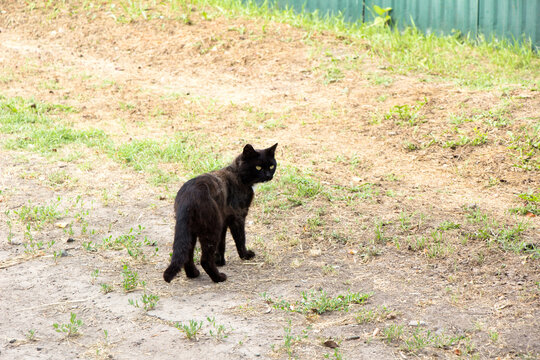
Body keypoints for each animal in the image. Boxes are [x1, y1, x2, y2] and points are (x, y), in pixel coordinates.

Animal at [162, 143, 276, 284]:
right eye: (258, 167)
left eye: (271, 166)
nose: (268, 175)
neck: (238, 174)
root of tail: (188, 196)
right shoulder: (238, 217)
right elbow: (240, 239)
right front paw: (245, 256)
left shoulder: (224, 221)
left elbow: (222, 244)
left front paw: (220, 261)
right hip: (211, 228)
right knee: (205, 260)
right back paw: (219, 278)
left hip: (191, 230)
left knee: (187, 254)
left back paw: (193, 274)